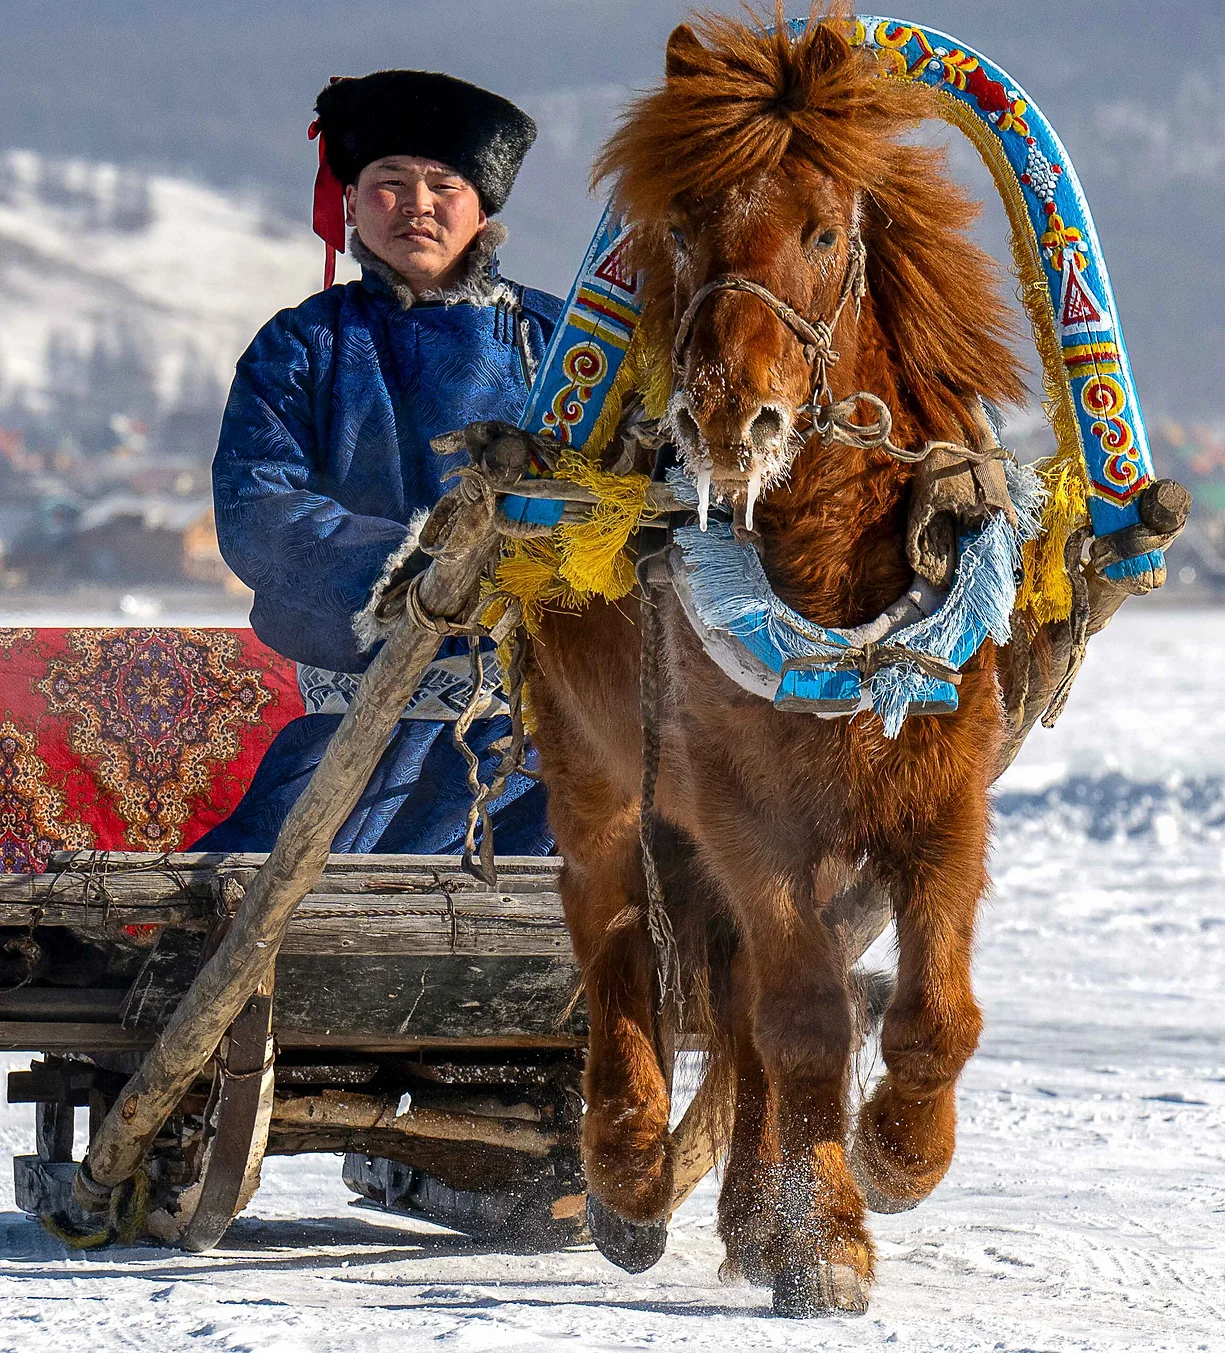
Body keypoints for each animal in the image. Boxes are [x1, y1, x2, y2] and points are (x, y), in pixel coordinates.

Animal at [522, 10, 1023, 1315]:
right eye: (682, 226)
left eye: (824, 229)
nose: (725, 417)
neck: (832, 579)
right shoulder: (744, 812)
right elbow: (801, 1017)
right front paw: (830, 1235)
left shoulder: (943, 795)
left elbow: (930, 1010)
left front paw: (894, 1156)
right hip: (597, 770)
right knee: (612, 934)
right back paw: (630, 1174)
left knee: (736, 992)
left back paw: (748, 1210)